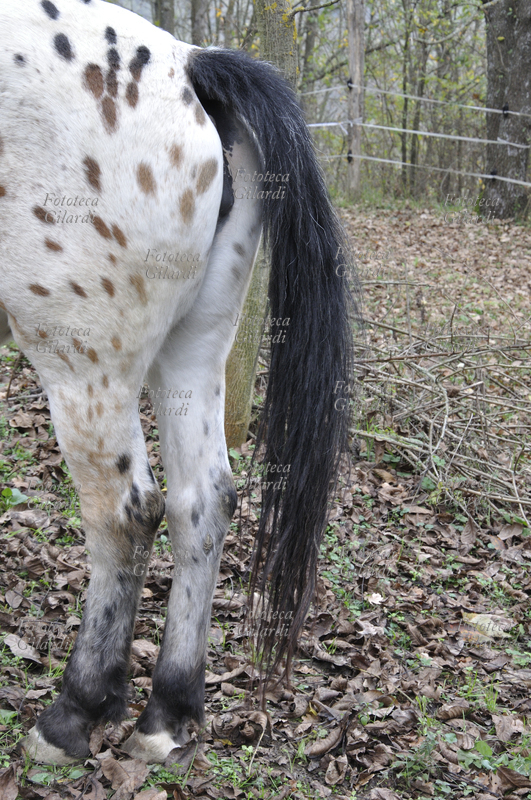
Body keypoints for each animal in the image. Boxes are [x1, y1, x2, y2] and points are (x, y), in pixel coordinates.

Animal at [0, 0, 354, 764]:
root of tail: (188, 63)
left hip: (83, 362)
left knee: (126, 513)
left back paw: (74, 712)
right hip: (195, 346)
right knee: (204, 499)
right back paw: (168, 714)